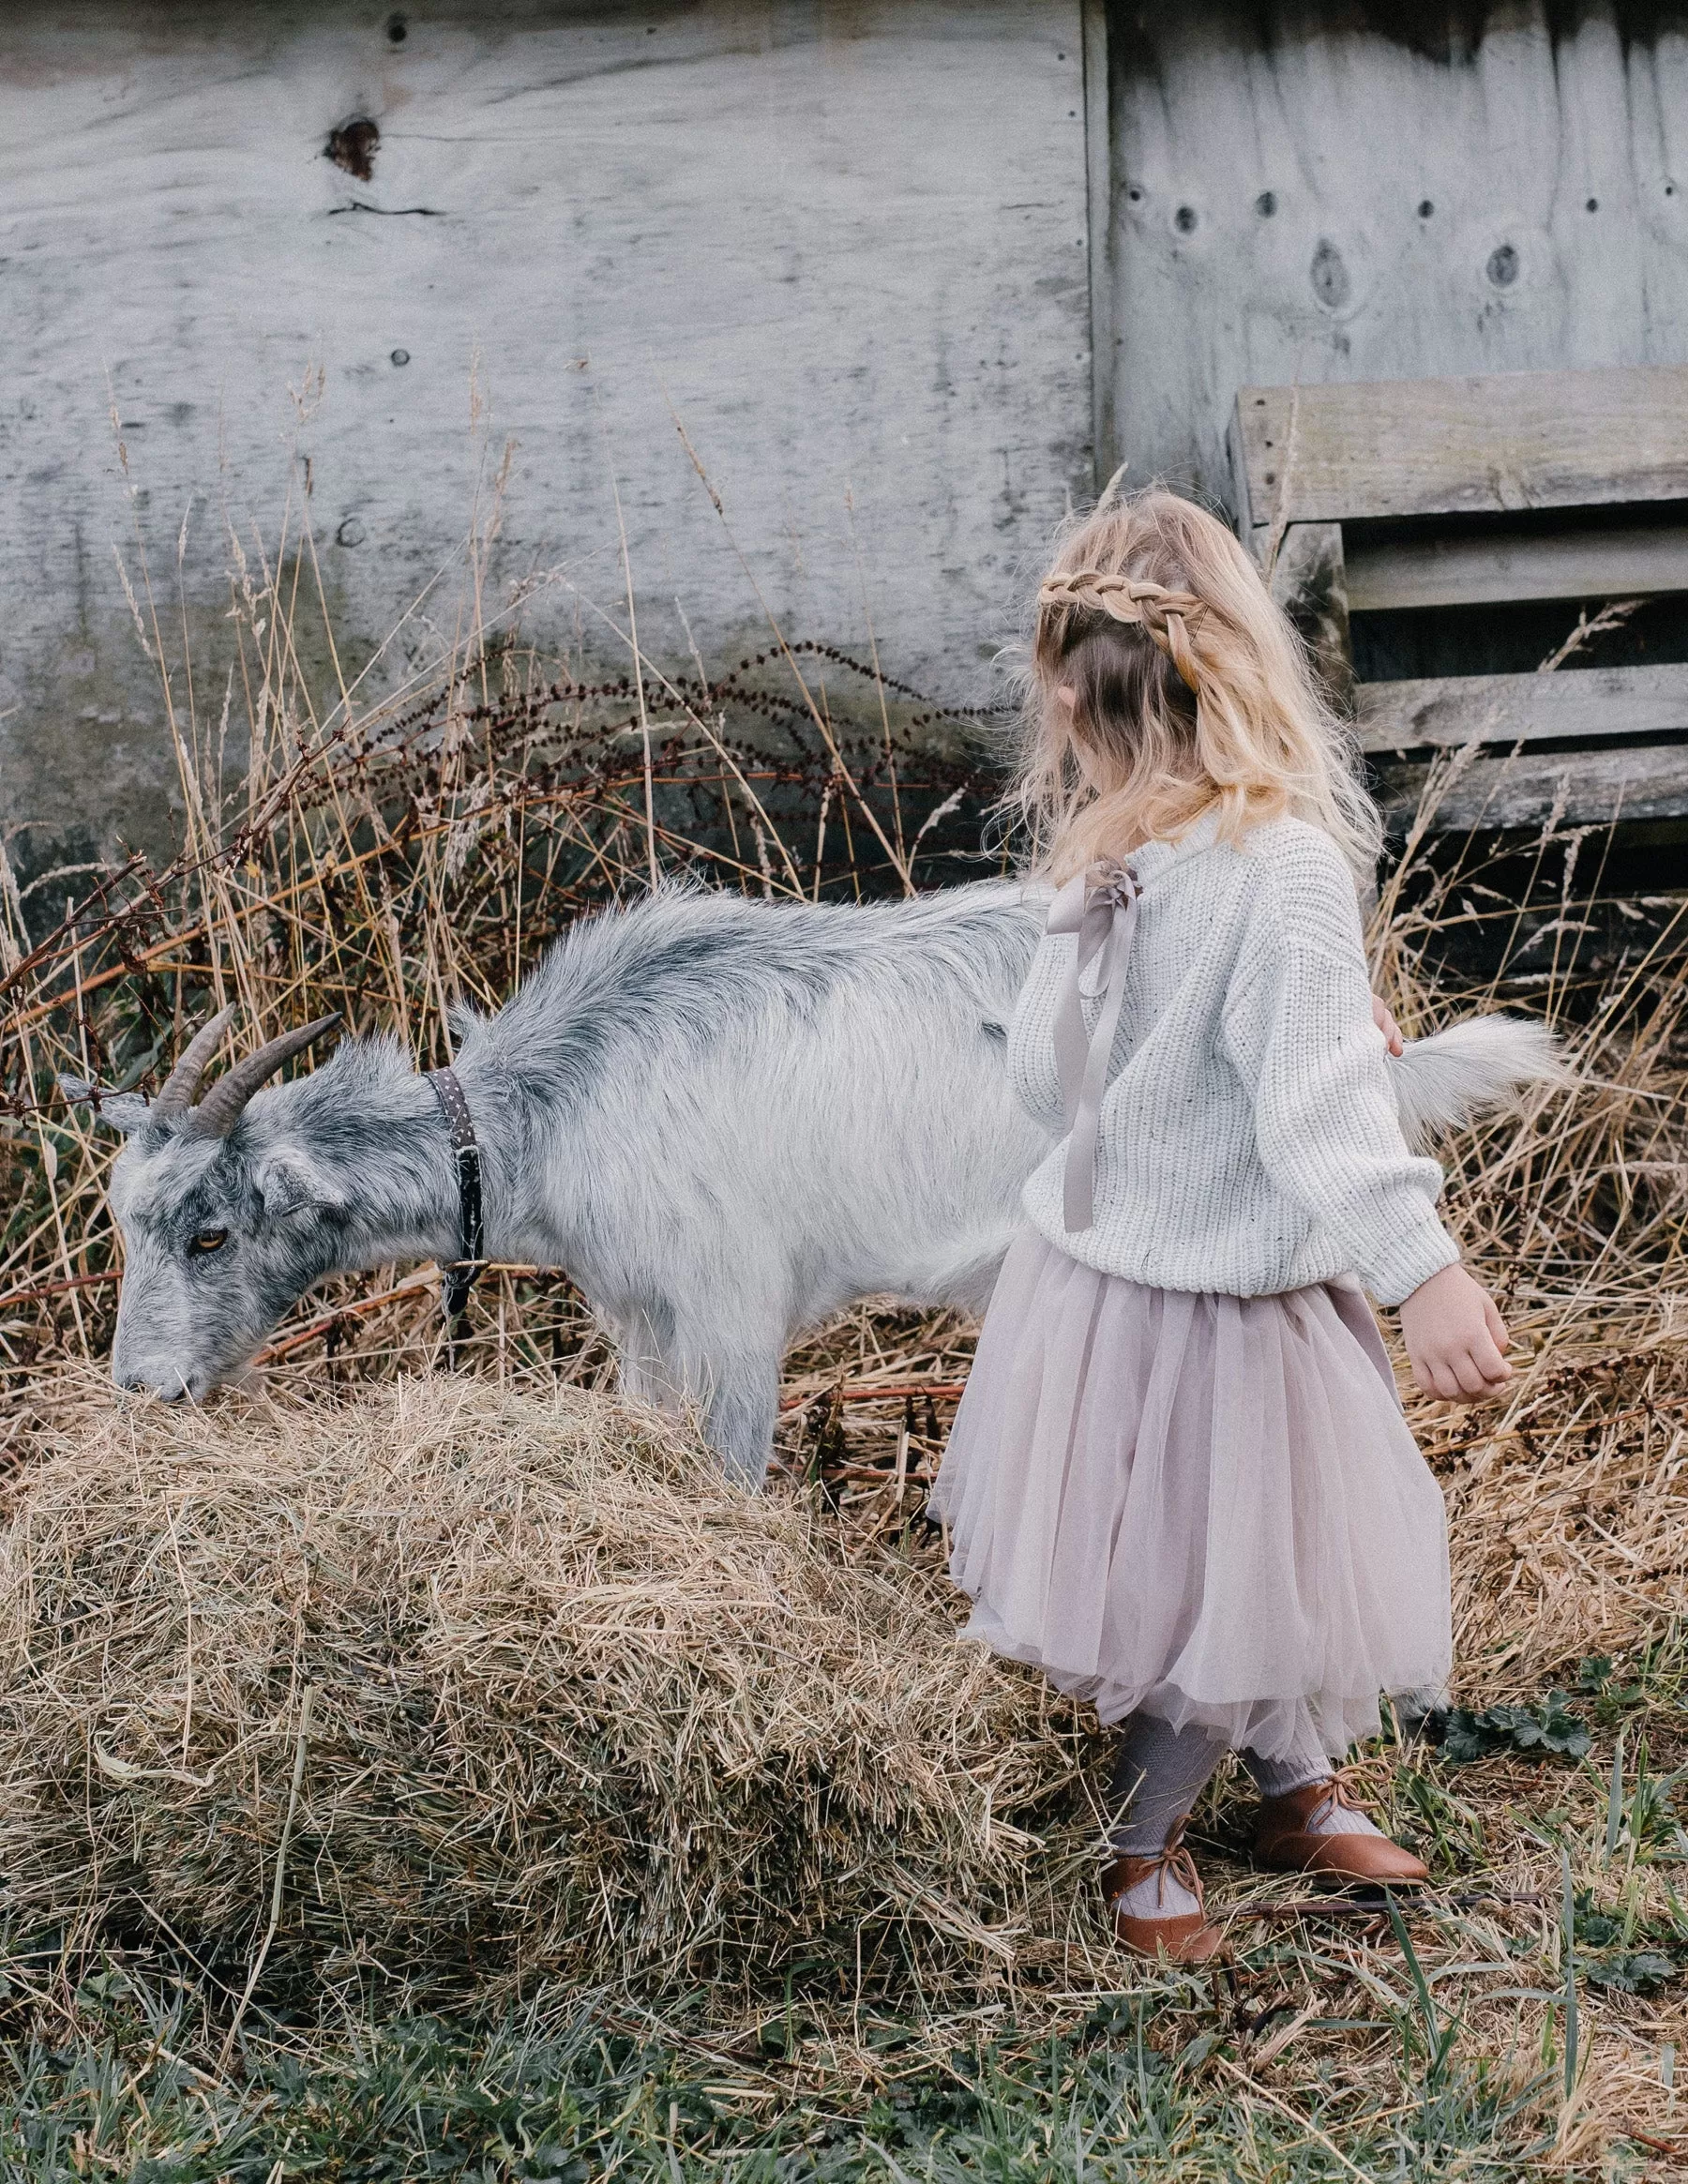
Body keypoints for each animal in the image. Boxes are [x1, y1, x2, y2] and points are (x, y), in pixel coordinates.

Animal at [72, 881, 1563, 1484]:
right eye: (126, 1228)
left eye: (211, 1234)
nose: (140, 1390)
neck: (556, 1101)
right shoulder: (644, 1318)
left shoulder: (734, 1314)